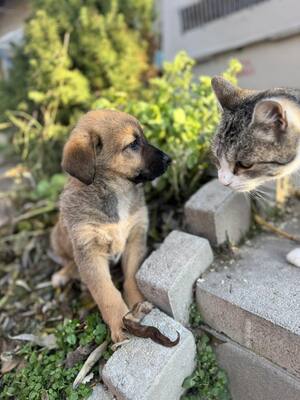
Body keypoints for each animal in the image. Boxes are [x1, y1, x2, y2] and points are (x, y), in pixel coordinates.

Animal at [51, 109, 171, 340]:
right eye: (133, 144)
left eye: (143, 137)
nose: (169, 159)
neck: (117, 190)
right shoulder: (89, 249)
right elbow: (106, 292)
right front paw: (119, 324)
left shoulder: (135, 236)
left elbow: (131, 276)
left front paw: (137, 304)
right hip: (57, 237)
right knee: (68, 260)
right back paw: (63, 275)